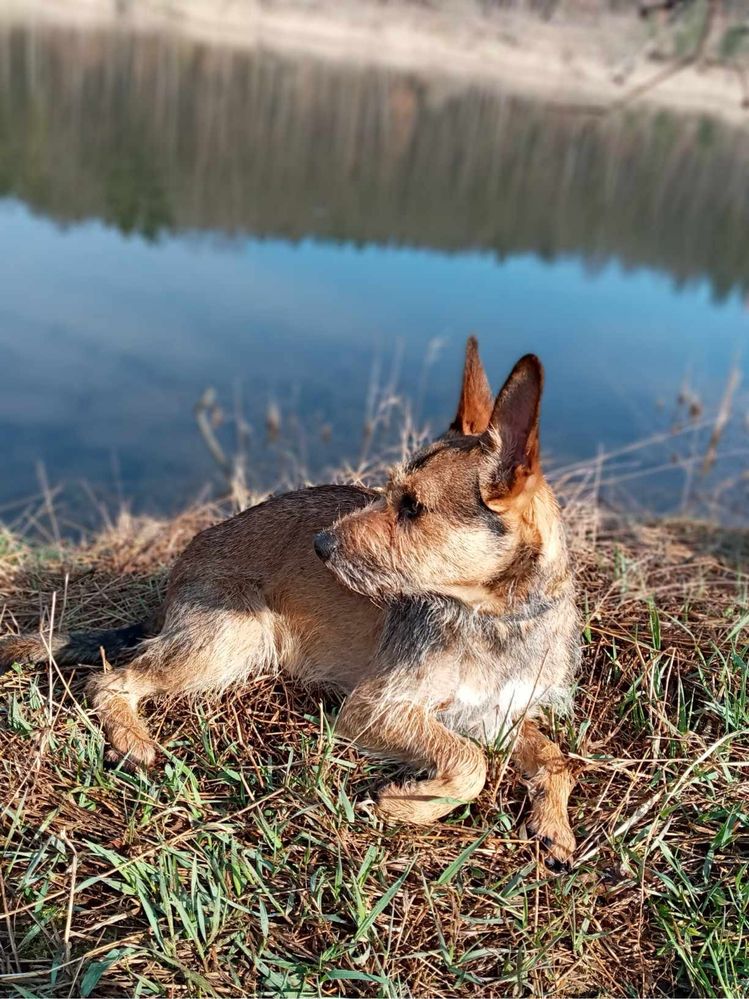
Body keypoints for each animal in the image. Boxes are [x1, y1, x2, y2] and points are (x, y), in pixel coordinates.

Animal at [1, 340, 580, 872]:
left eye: (413, 507)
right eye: (389, 491)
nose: (320, 546)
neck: (498, 619)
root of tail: (174, 580)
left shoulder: (501, 713)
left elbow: (555, 757)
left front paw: (553, 829)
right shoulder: (374, 706)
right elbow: (470, 761)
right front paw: (409, 804)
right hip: (235, 638)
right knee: (109, 679)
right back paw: (133, 739)